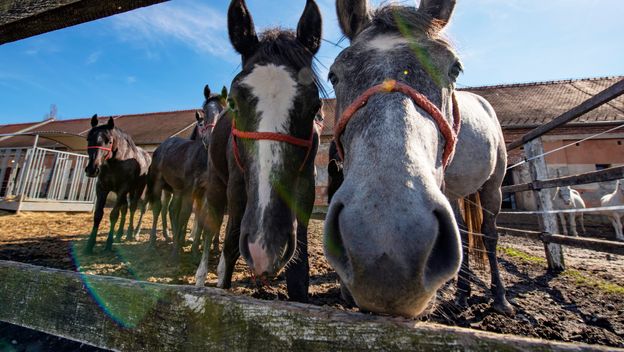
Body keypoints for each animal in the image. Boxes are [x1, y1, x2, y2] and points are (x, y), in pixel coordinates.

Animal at [84, 115, 152, 253]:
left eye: (109, 141)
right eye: (89, 139)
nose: (92, 169)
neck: (116, 162)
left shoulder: (123, 188)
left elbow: (114, 215)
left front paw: (108, 244)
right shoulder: (101, 188)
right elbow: (98, 215)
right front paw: (90, 245)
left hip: (139, 189)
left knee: (135, 208)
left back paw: (131, 233)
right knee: (125, 208)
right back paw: (120, 234)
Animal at [146, 85, 227, 256]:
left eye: (223, 111)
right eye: (204, 111)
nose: (210, 139)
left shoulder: (204, 192)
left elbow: (200, 217)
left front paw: (195, 250)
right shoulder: (190, 189)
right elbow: (185, 214)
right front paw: (177, 249)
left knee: (171, 209)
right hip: (159, 183)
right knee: (158, 209)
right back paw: (153, 242)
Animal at [194, 0, 322, 302]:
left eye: (315, 106)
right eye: (235, 102)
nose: (265, 246)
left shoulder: (306, 187)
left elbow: (299, 271)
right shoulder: (236, 188)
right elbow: (229, 246)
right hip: (216, 185)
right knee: (211, 227)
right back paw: (201, 276)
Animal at [326, 0, 512, 318]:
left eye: (455, 69)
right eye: (334, 75)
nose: (386, 249)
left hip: (493, 187)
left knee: (490, 235)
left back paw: (499, 296)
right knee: (464, 234)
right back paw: (461, 295)